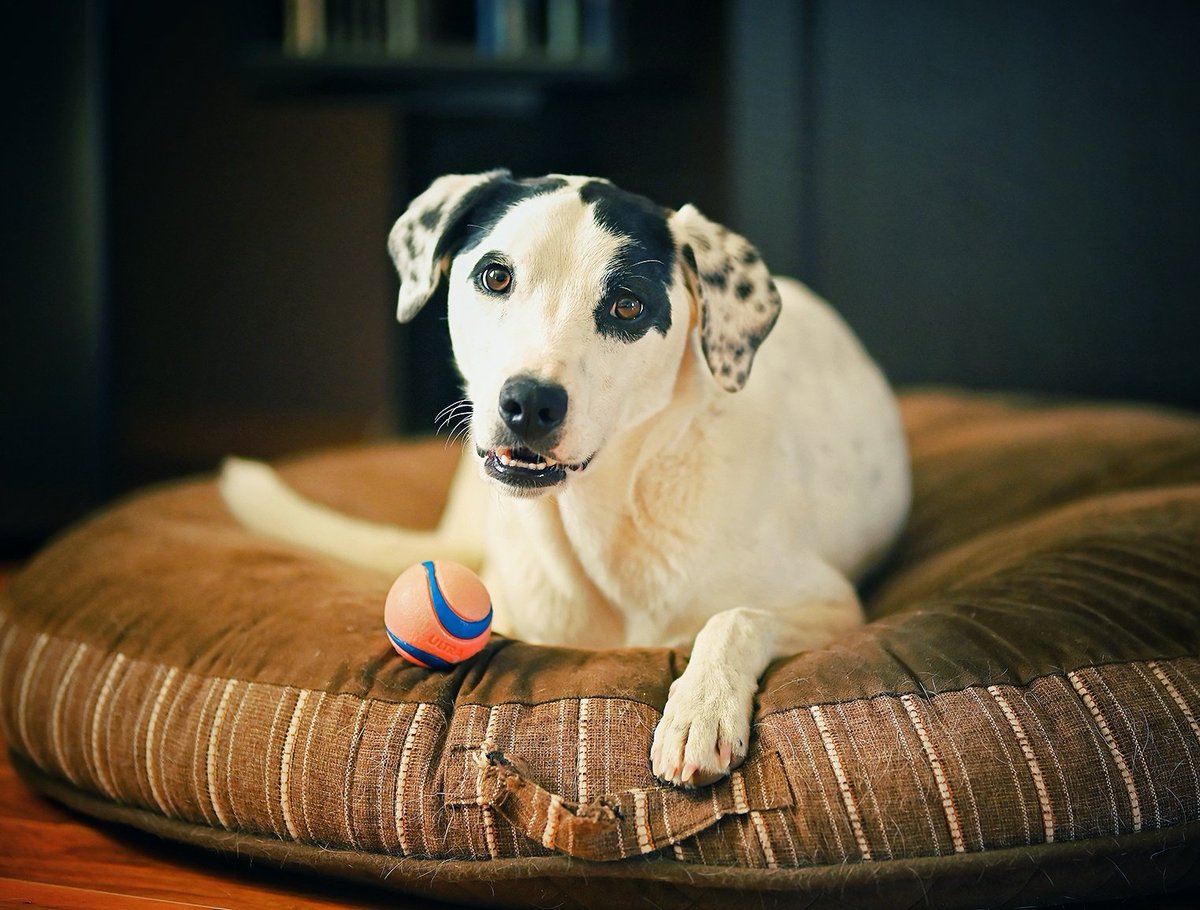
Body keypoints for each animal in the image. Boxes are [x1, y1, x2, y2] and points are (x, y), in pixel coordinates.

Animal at [220, 170, 907, 792]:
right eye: (496, 276)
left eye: (628, 304)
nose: (529, 403)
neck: (604, 517)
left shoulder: (832, 606)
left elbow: (735, 617)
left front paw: (700, 707)